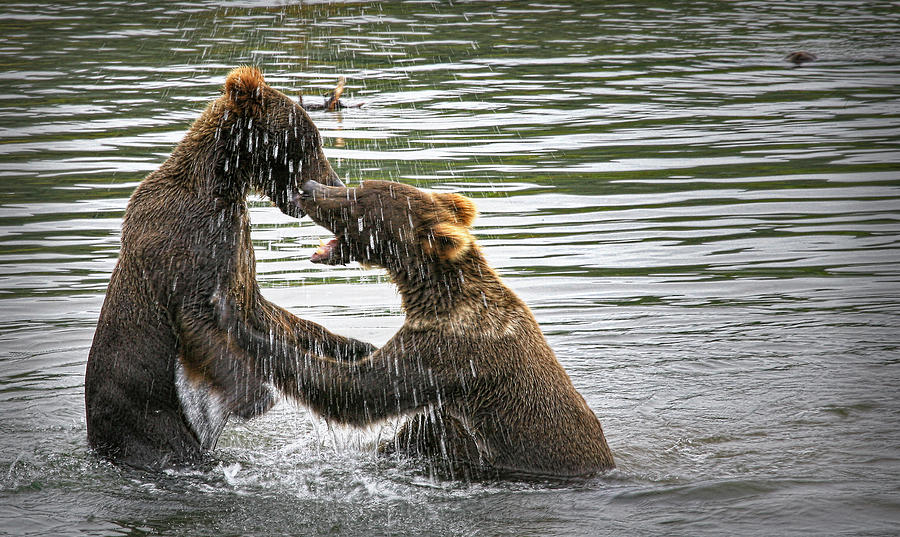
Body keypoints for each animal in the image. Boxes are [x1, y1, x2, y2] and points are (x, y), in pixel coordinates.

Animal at [86, 67, 374, 468]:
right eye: (309, 140)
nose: (334, 184)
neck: (223, 183)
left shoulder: (234, 245)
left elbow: (264, 313)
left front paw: (357, 345)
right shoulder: (187, 245)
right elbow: (199, 318)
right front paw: (257, 396)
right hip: (146, 422)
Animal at [221, 179, 616, 478]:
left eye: (358, 200)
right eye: (357, 185)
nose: (307, 187)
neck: (436, 300)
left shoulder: (448, 354)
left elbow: (358, 390)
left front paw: (240, 325)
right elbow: (366, 364)